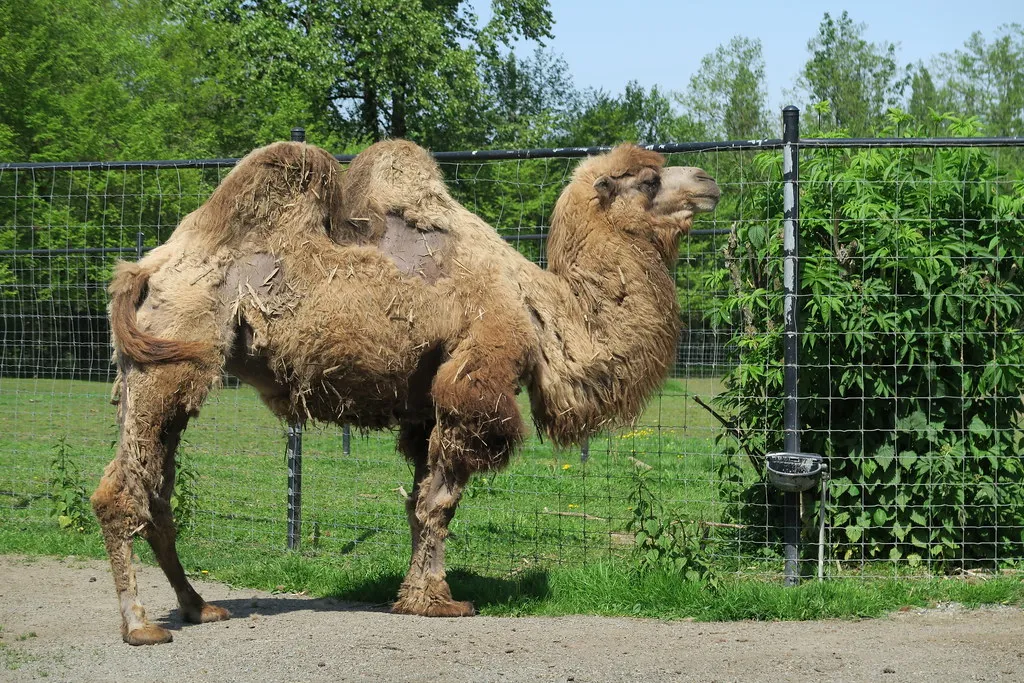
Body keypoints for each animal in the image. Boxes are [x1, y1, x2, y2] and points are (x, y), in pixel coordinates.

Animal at [91, 139, 720, 644]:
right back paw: (141, 626)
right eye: (648, 180)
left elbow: (418, 505)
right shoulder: (474, 384)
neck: (544, 311)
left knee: (155, 491)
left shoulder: (424, 408)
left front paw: (413, 595)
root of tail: (142, 271)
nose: (709, 182)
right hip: (170, 362)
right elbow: (441, 503)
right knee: (123, 491)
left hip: (144, 373)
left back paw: (199, 608)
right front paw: (439, 601)